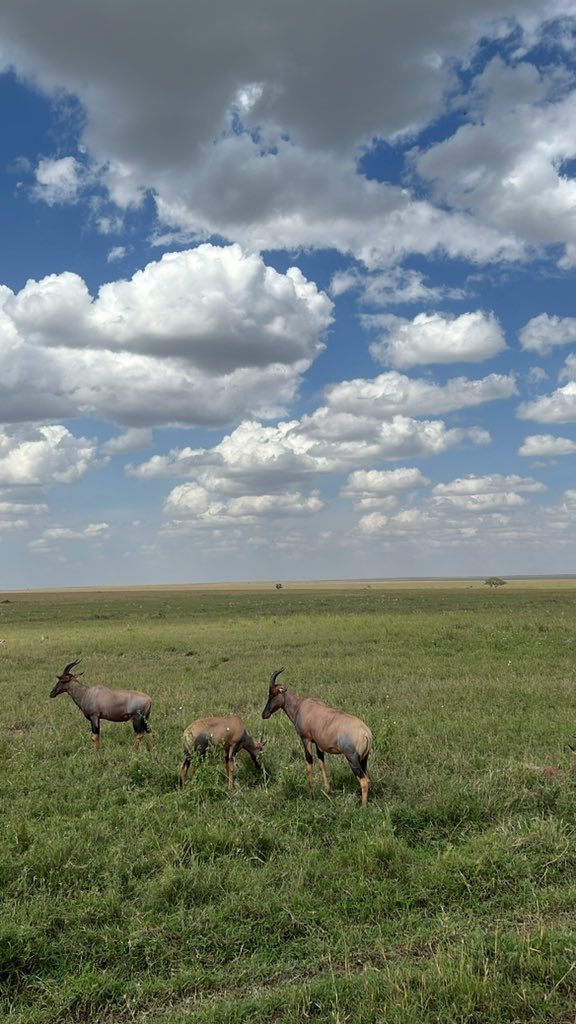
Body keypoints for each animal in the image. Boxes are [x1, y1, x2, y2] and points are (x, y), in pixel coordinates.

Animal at [262, 667, 372, 806]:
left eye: (272, 694)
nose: (264, 714)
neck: (301, 706)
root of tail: (366, 733)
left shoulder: (306, 739)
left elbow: (309, 762)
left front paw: (309, 793)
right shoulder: (318, 743)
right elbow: (321, 763)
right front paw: (327, 789)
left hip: (352, 759)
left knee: (363, 780)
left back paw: (363, 806)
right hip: (364, 759)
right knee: (367, 778)